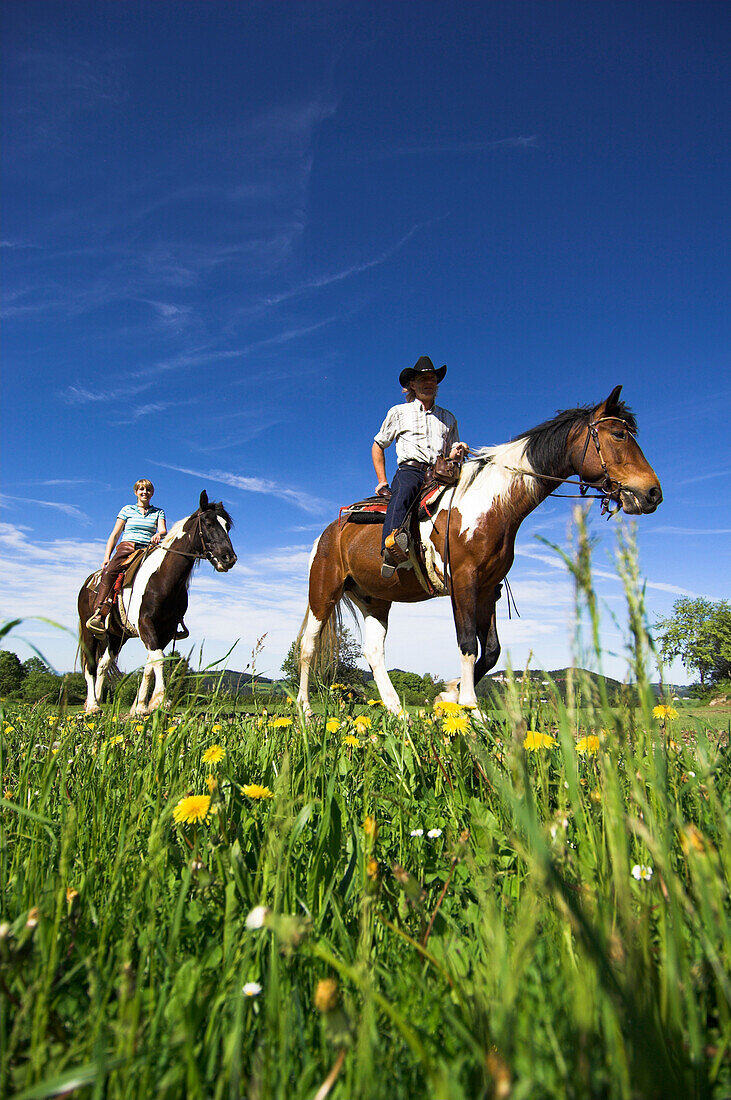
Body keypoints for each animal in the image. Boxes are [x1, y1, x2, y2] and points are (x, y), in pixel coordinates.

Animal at [78, 495, 235, 717]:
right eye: (208, 523)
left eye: (227, 526)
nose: (228, 558)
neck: (162, 579)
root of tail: (88, 583)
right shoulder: (146, 624)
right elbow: (158, 659)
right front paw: (161, 700)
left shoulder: (166, 630)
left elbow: (151, 664)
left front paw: (141, 706)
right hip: (89, 631)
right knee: (90, 666)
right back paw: (92, 705)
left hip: (116, 636)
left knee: (102, 664)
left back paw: (98, 701)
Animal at [296, 387, 659, 712]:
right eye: (618, 435)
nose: (653, 493)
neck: (492, 503)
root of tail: (331, 531)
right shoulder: (463, 582)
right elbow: (468, 642)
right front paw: (469, 706)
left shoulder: (487, 588)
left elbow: (492, 650)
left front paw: (450, 694)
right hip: (324, 591)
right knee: (308, 646)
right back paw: (305, 711)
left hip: (375, 599)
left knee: (373, 651)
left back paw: (398, 711)